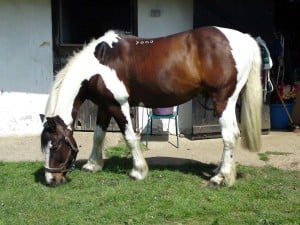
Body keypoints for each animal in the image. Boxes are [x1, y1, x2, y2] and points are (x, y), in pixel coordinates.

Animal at [40, 26, 262, 186]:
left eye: (55, 146)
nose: (52, 181)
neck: (99, 64)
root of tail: (245, 39)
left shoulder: (118, 105)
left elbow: (129, 137)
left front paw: (138, 171)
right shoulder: (105, 105)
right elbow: (98, 136)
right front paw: (93, 165)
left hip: (223, 100)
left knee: (230, 135)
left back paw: (220, 178)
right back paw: (220, 170)